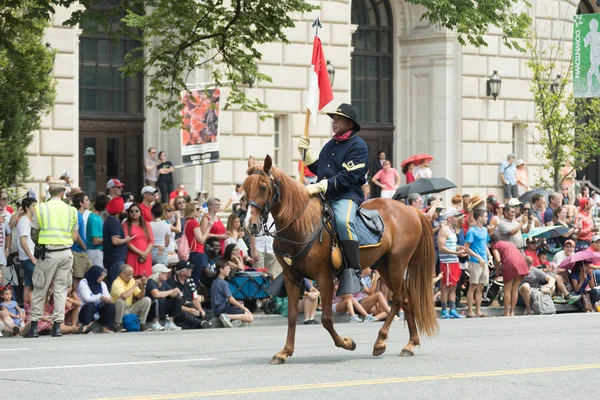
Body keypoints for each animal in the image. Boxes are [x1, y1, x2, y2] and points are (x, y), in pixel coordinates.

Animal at [243, 157, 436, 366]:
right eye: (245, 188)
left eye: (263, 187)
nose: (250, 225)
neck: (301, 225)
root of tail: (412, 210)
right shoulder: (291, 276)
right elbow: (293, 315)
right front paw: (285, 352)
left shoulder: (324, 277)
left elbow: (327, 318)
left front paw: (346, 342)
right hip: (384, 266)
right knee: (406, 299)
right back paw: (410, 344)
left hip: (397, 263)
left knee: (399, 300)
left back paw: (380, 341)